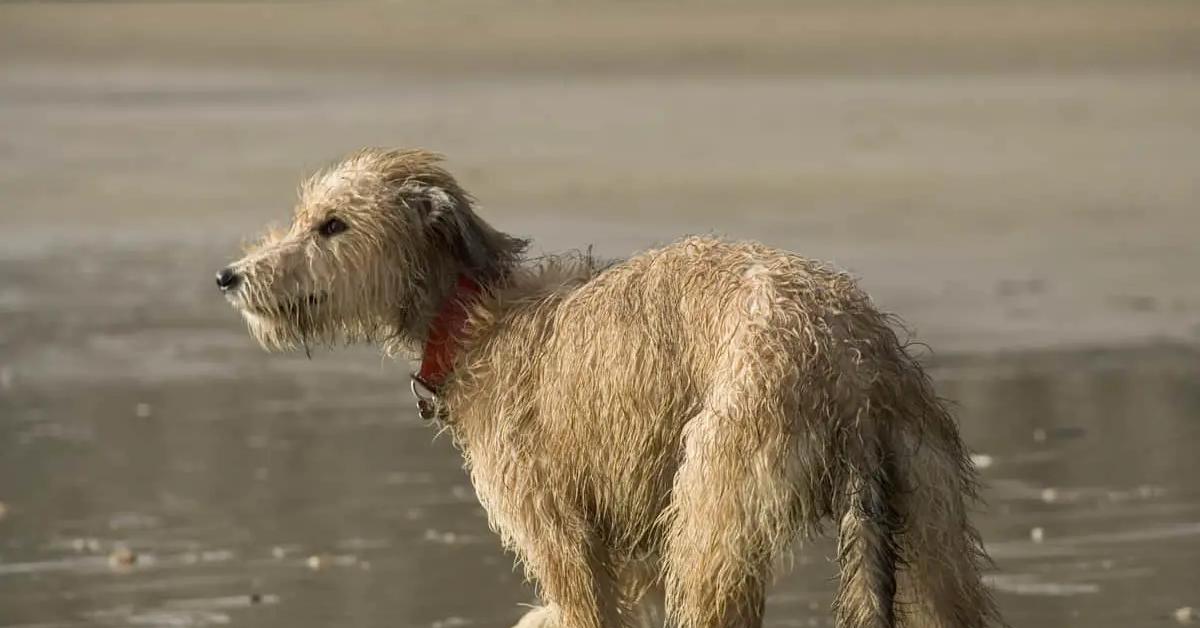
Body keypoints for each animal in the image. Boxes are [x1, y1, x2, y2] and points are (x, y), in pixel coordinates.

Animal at [218, 148, 1003, 628]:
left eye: (332, 225)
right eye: (304, 216)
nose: (229, 277)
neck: (475, 318)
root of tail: (851, 362)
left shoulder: (560, 534)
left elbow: (575, 603)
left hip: (717, 515)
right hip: (929, 524)